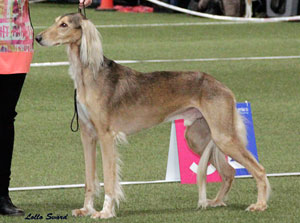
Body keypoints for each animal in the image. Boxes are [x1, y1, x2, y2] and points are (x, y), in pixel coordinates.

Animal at [35, 13, 270, 219]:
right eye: (56, 22)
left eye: (64, 25)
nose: (38, 38)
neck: (90, 75)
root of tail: (223, 86)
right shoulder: (87, 135)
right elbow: (89, 180)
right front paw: (86, 209)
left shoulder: (106, 136)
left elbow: (109, 180)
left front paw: (105, 212)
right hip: (198, 137)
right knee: (230, 171)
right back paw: (216, 202)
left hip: (223, 137)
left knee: (259, 169)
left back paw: (260, 204)